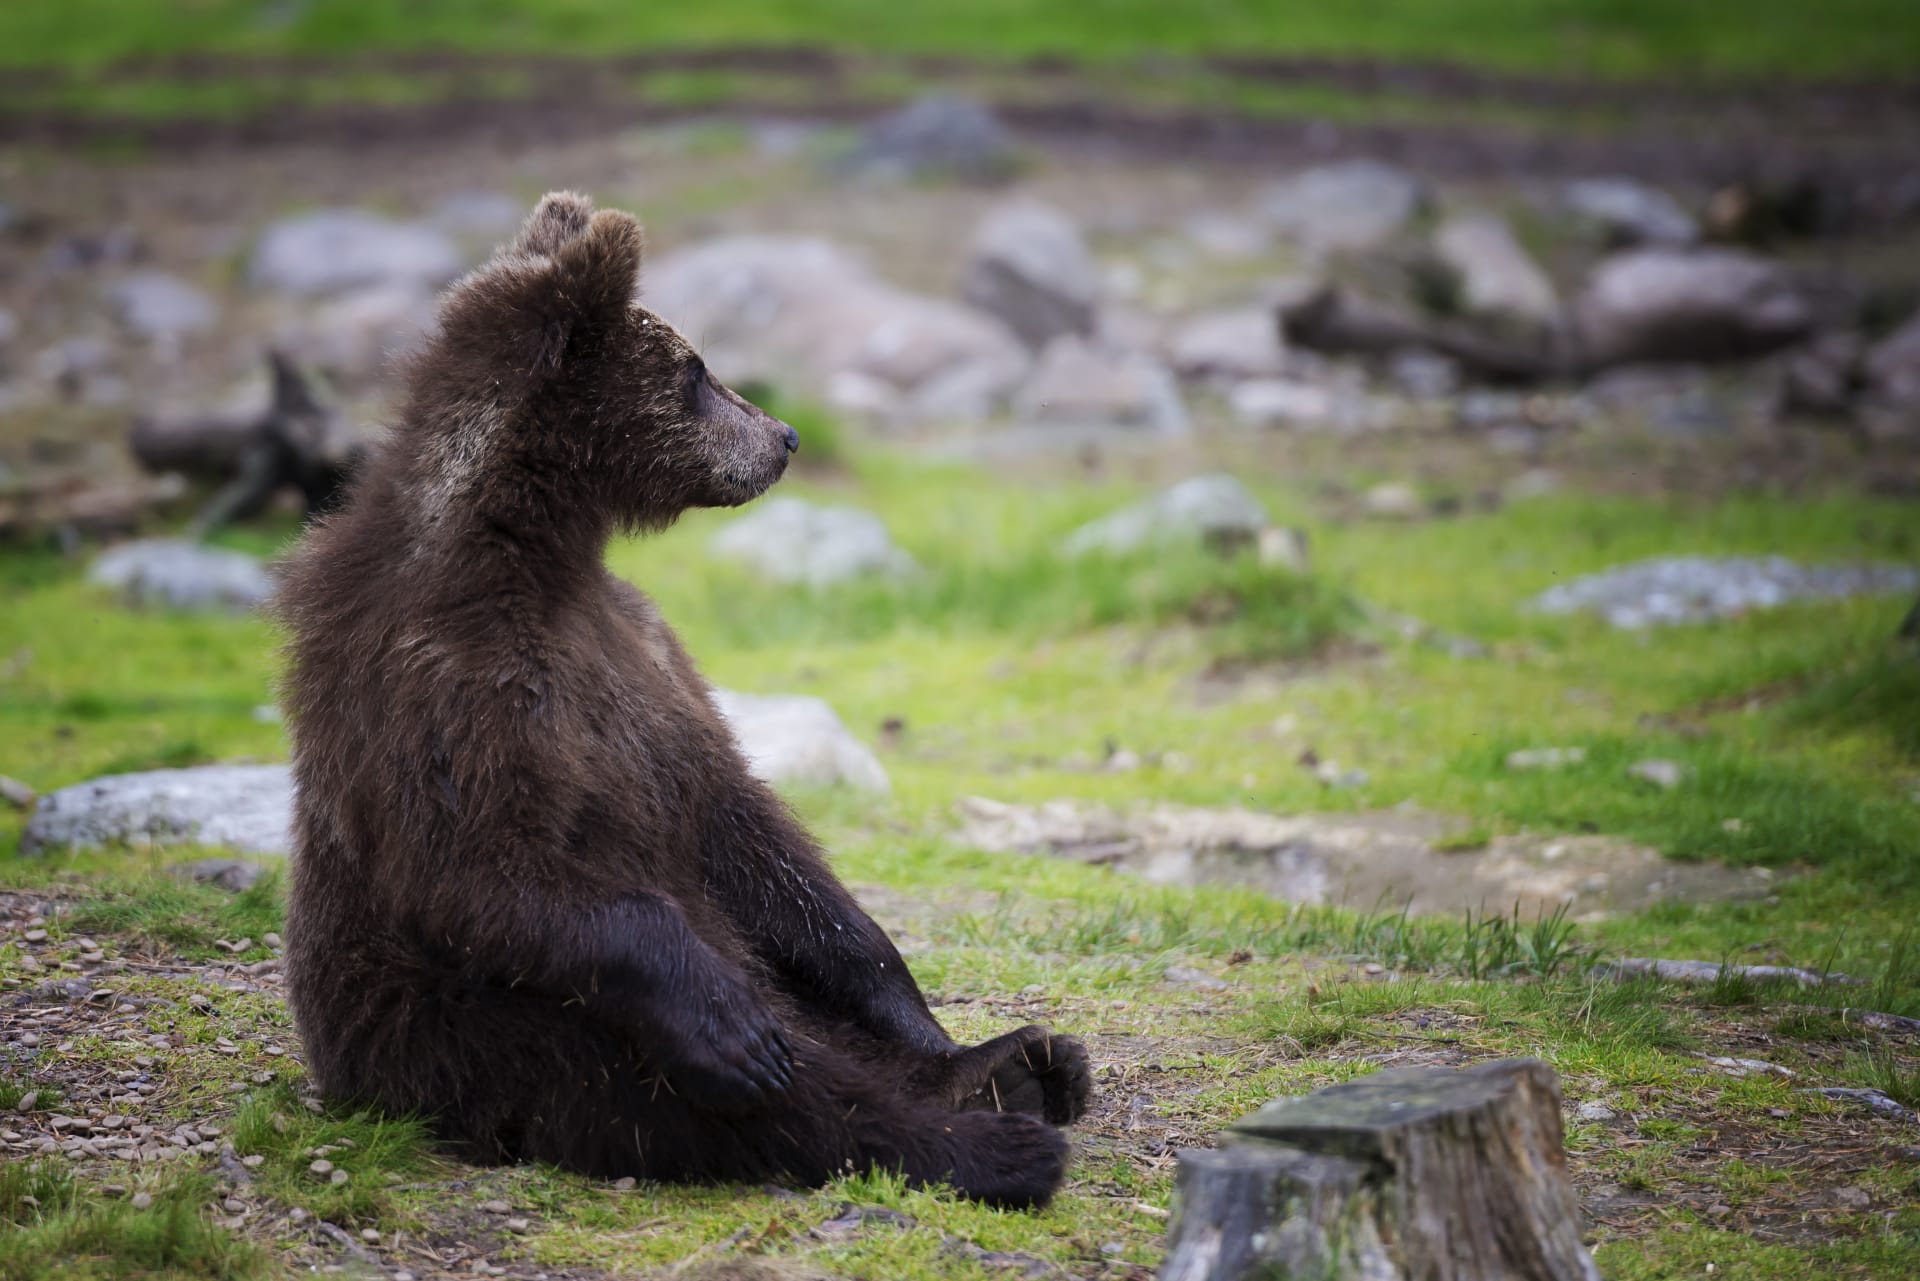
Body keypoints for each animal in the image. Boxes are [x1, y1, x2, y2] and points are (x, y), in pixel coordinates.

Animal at [280, 188, 1098, 1206]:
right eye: (697, 372)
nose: (784, 436)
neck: (531, 553)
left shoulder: (648, 657)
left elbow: (748, 827)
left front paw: (910, 1001)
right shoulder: (443, 682)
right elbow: (483, 864)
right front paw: (734, 1031)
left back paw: (1017, 1062)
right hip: (456, 1028)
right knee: (701, 1079)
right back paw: (981, 1137)